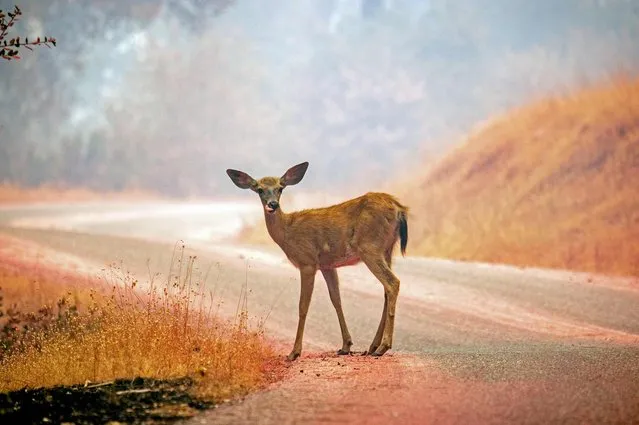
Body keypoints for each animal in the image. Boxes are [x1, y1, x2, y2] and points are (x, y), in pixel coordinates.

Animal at [226, 161, 410, 360]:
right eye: (259, 189)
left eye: (280, 188)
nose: (272, 204)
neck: (287, 232)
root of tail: (399, 208)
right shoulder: (327, 265)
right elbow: (336, 299)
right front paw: (345, 345)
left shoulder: (307, 261)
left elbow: (303, 305)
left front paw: (294, 352)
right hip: (387, 250)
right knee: (386, 290)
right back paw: (372, 346)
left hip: (369, 247)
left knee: (393, 283)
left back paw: (383, 346)